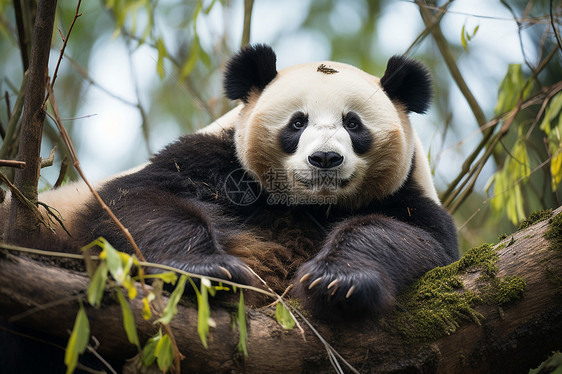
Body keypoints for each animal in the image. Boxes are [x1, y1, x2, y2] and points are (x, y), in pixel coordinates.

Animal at [2, 43, 456, 318]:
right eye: (297, 122)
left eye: (353, 123)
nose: (325, 159)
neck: (307, 205)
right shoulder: (216, 161)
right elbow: (139, 201)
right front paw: (209, 269)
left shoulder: (404, 195)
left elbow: (408, 235)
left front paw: (337, 280)